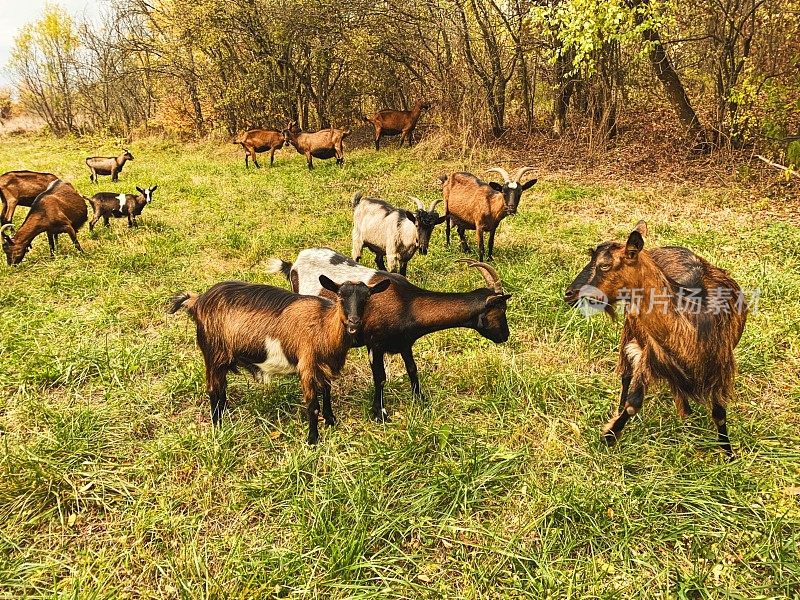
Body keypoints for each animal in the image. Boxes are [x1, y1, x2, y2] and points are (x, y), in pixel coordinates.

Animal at [170, 276, 390, 440]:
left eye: (367, 298)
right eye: (341, 297)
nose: (354, 322)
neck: (322, 325)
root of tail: (198, 300)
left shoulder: (324, 366)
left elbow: (327, 394)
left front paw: (330, 421)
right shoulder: (306, 365)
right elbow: (313, 406)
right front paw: (313, 440)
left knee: (221, 388)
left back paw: (226, 416)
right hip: (213, 354)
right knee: (213, 390)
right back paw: (218, 426)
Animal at [268, 248, 512, 422]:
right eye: (501, 309)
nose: (505, 336)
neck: (407, 304)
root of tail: (293, 264)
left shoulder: (404, 343)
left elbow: (412, 369)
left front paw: (420, 400)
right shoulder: (374, 345)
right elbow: (380, 377)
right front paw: (379, 413)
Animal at [564, 223, 752, 458]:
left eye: (605, 265)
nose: (569, 293)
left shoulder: (721, 367)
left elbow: (719, 413)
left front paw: (729, 454)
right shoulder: (651, 355)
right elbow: (633, 403)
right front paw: (610, 434)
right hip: (630, 328)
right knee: (626, 374)